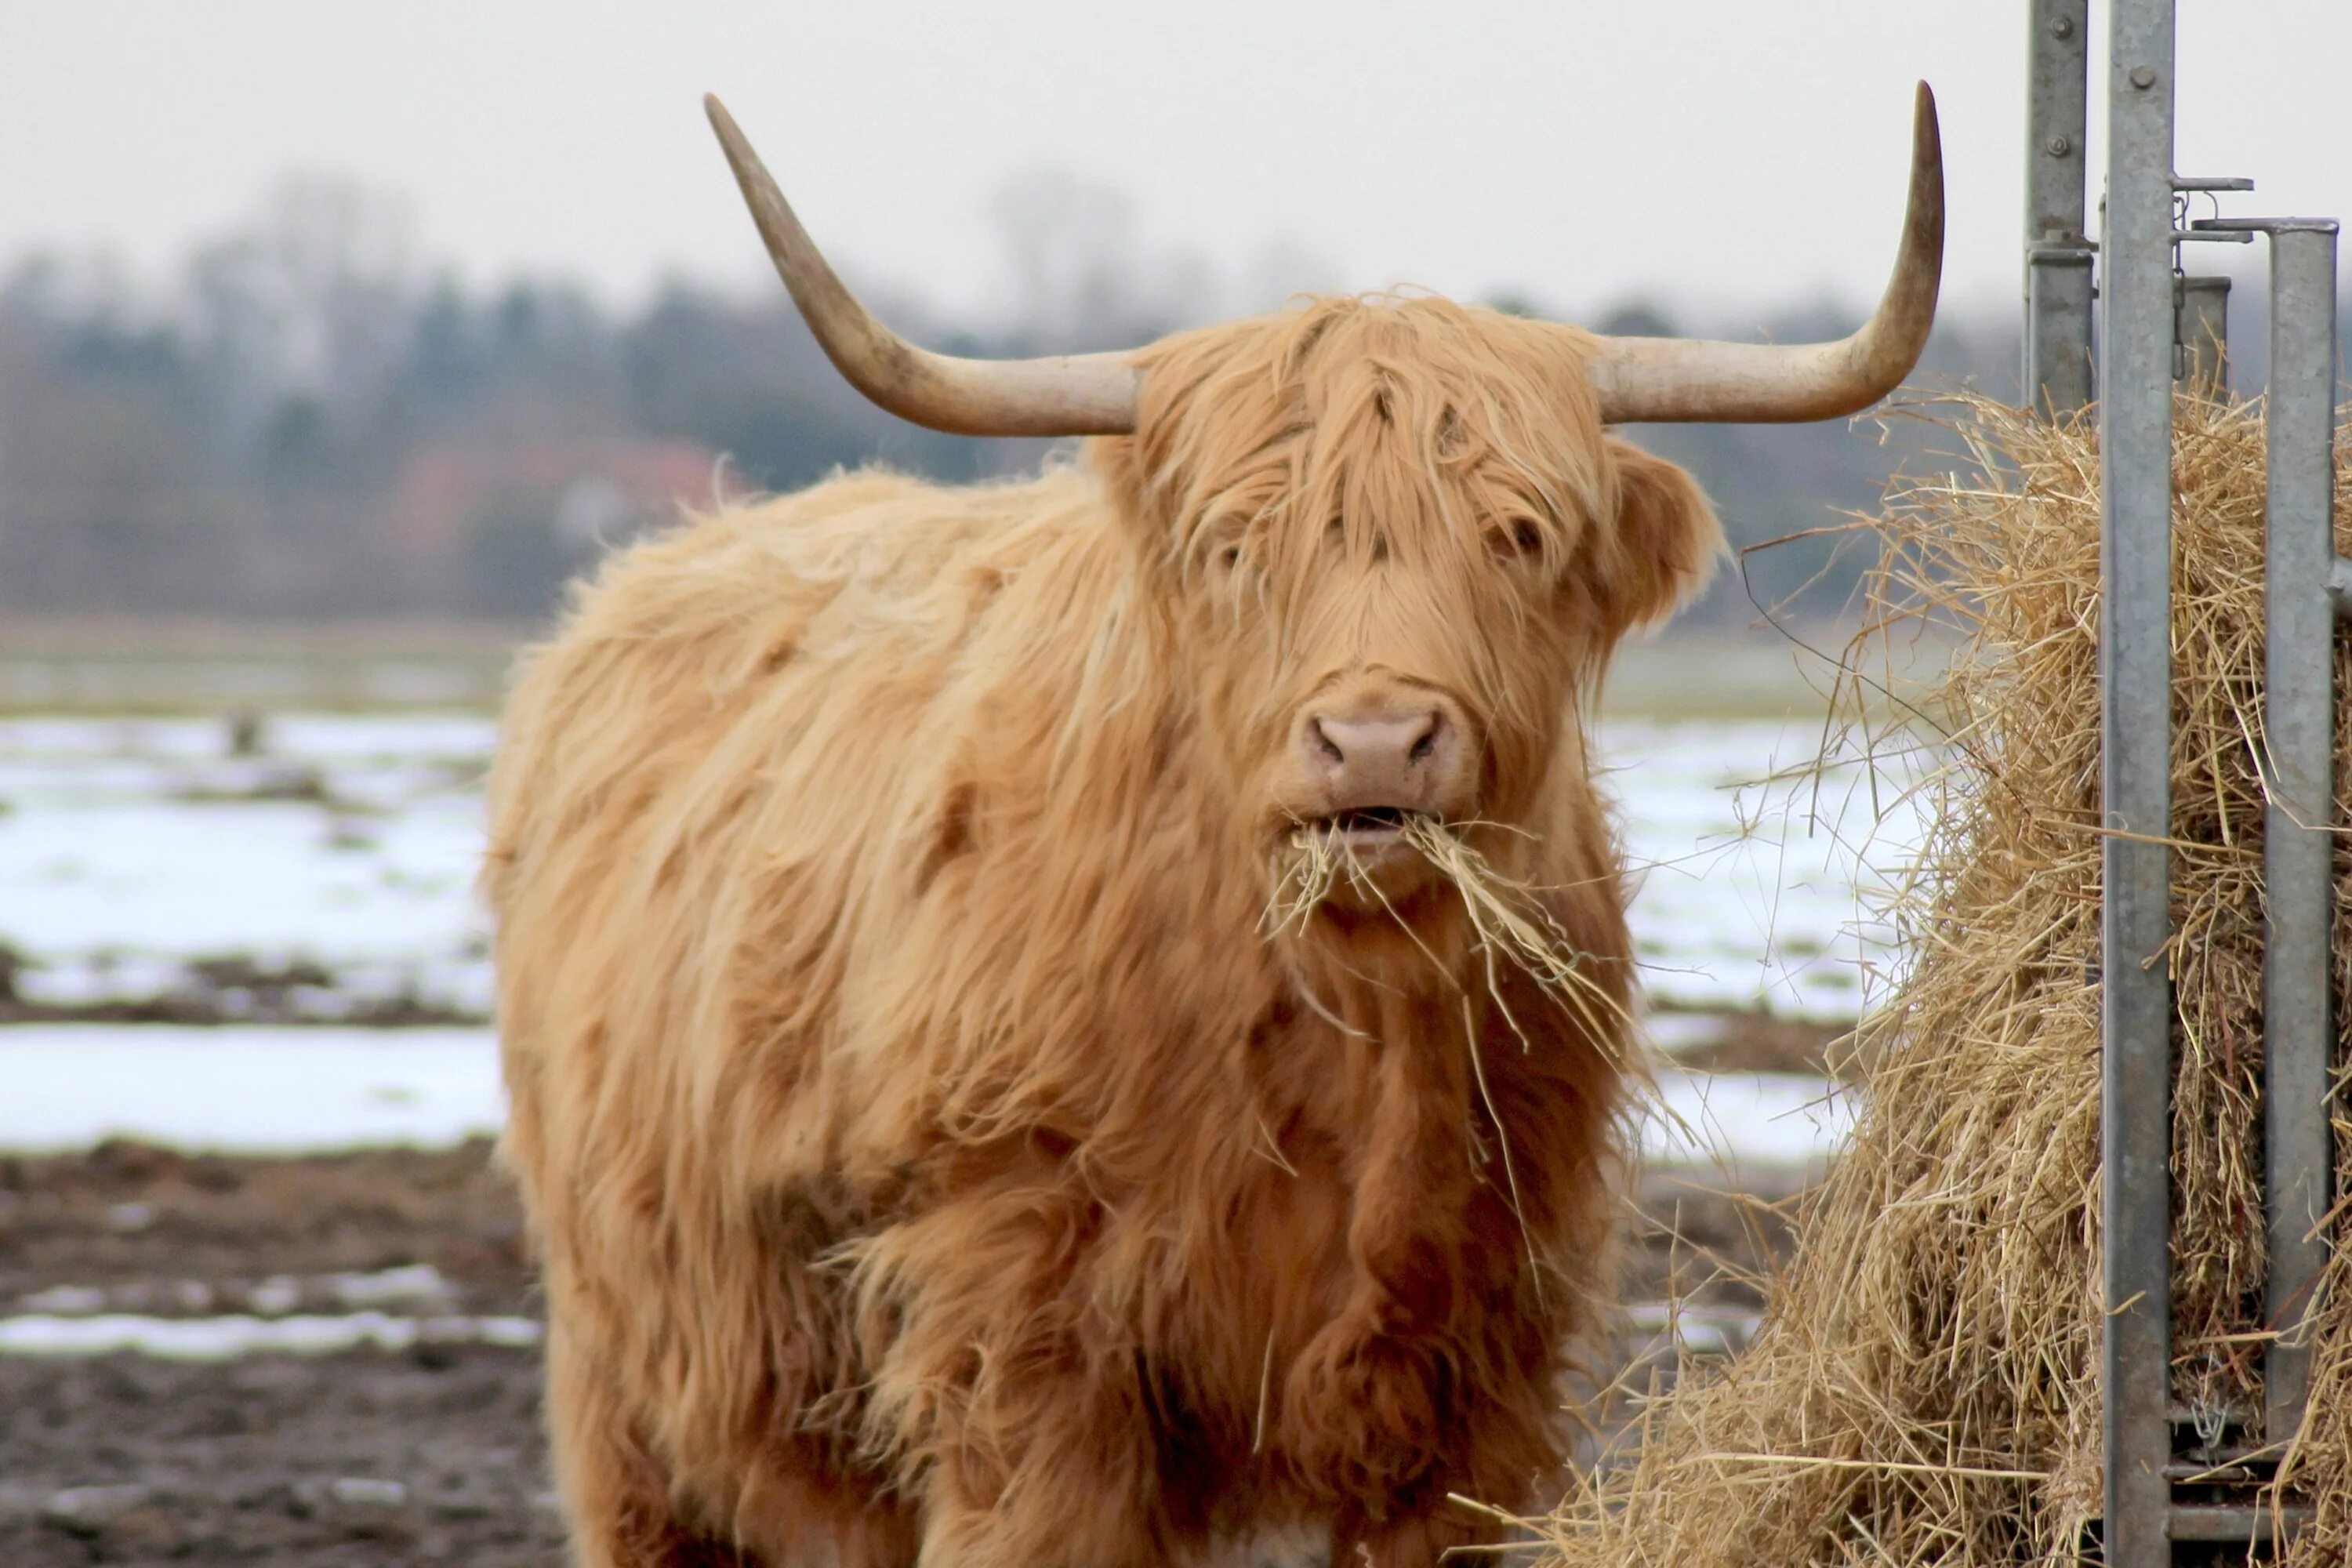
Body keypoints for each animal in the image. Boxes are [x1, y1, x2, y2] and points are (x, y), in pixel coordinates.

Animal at [482, 85, 1947, 1568]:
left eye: (1519, 536)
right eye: (1240, 546)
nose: (1375, 740)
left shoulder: (1474, 1384)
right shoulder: (1025, 1350)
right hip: (635, 1394)